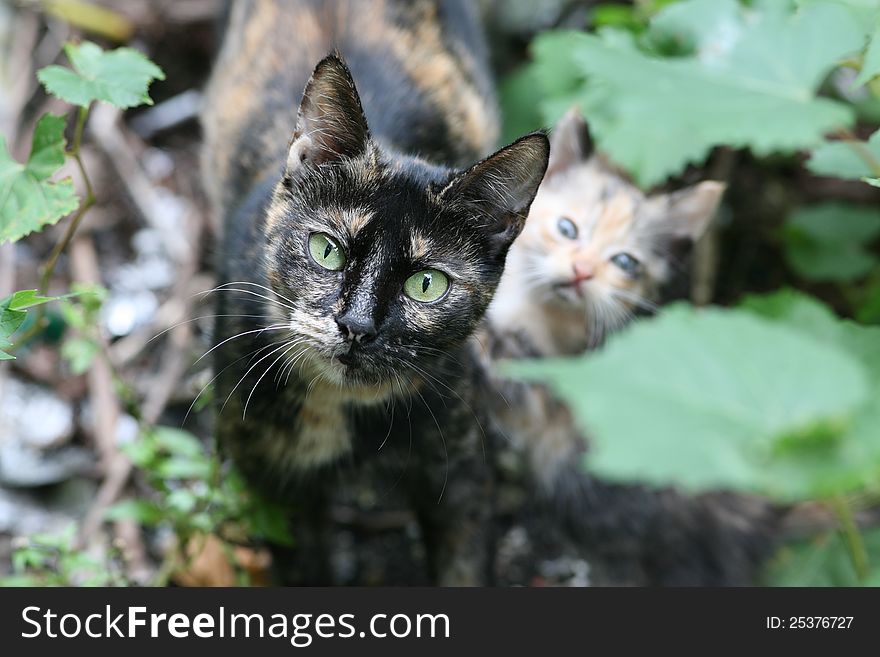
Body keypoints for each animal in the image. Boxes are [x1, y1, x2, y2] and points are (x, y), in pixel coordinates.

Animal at [200, 0, 548, 584]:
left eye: (426, 283)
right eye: (327, 251)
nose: (357, 326)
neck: (346, 414)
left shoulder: (459, 474)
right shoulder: (275, 487)